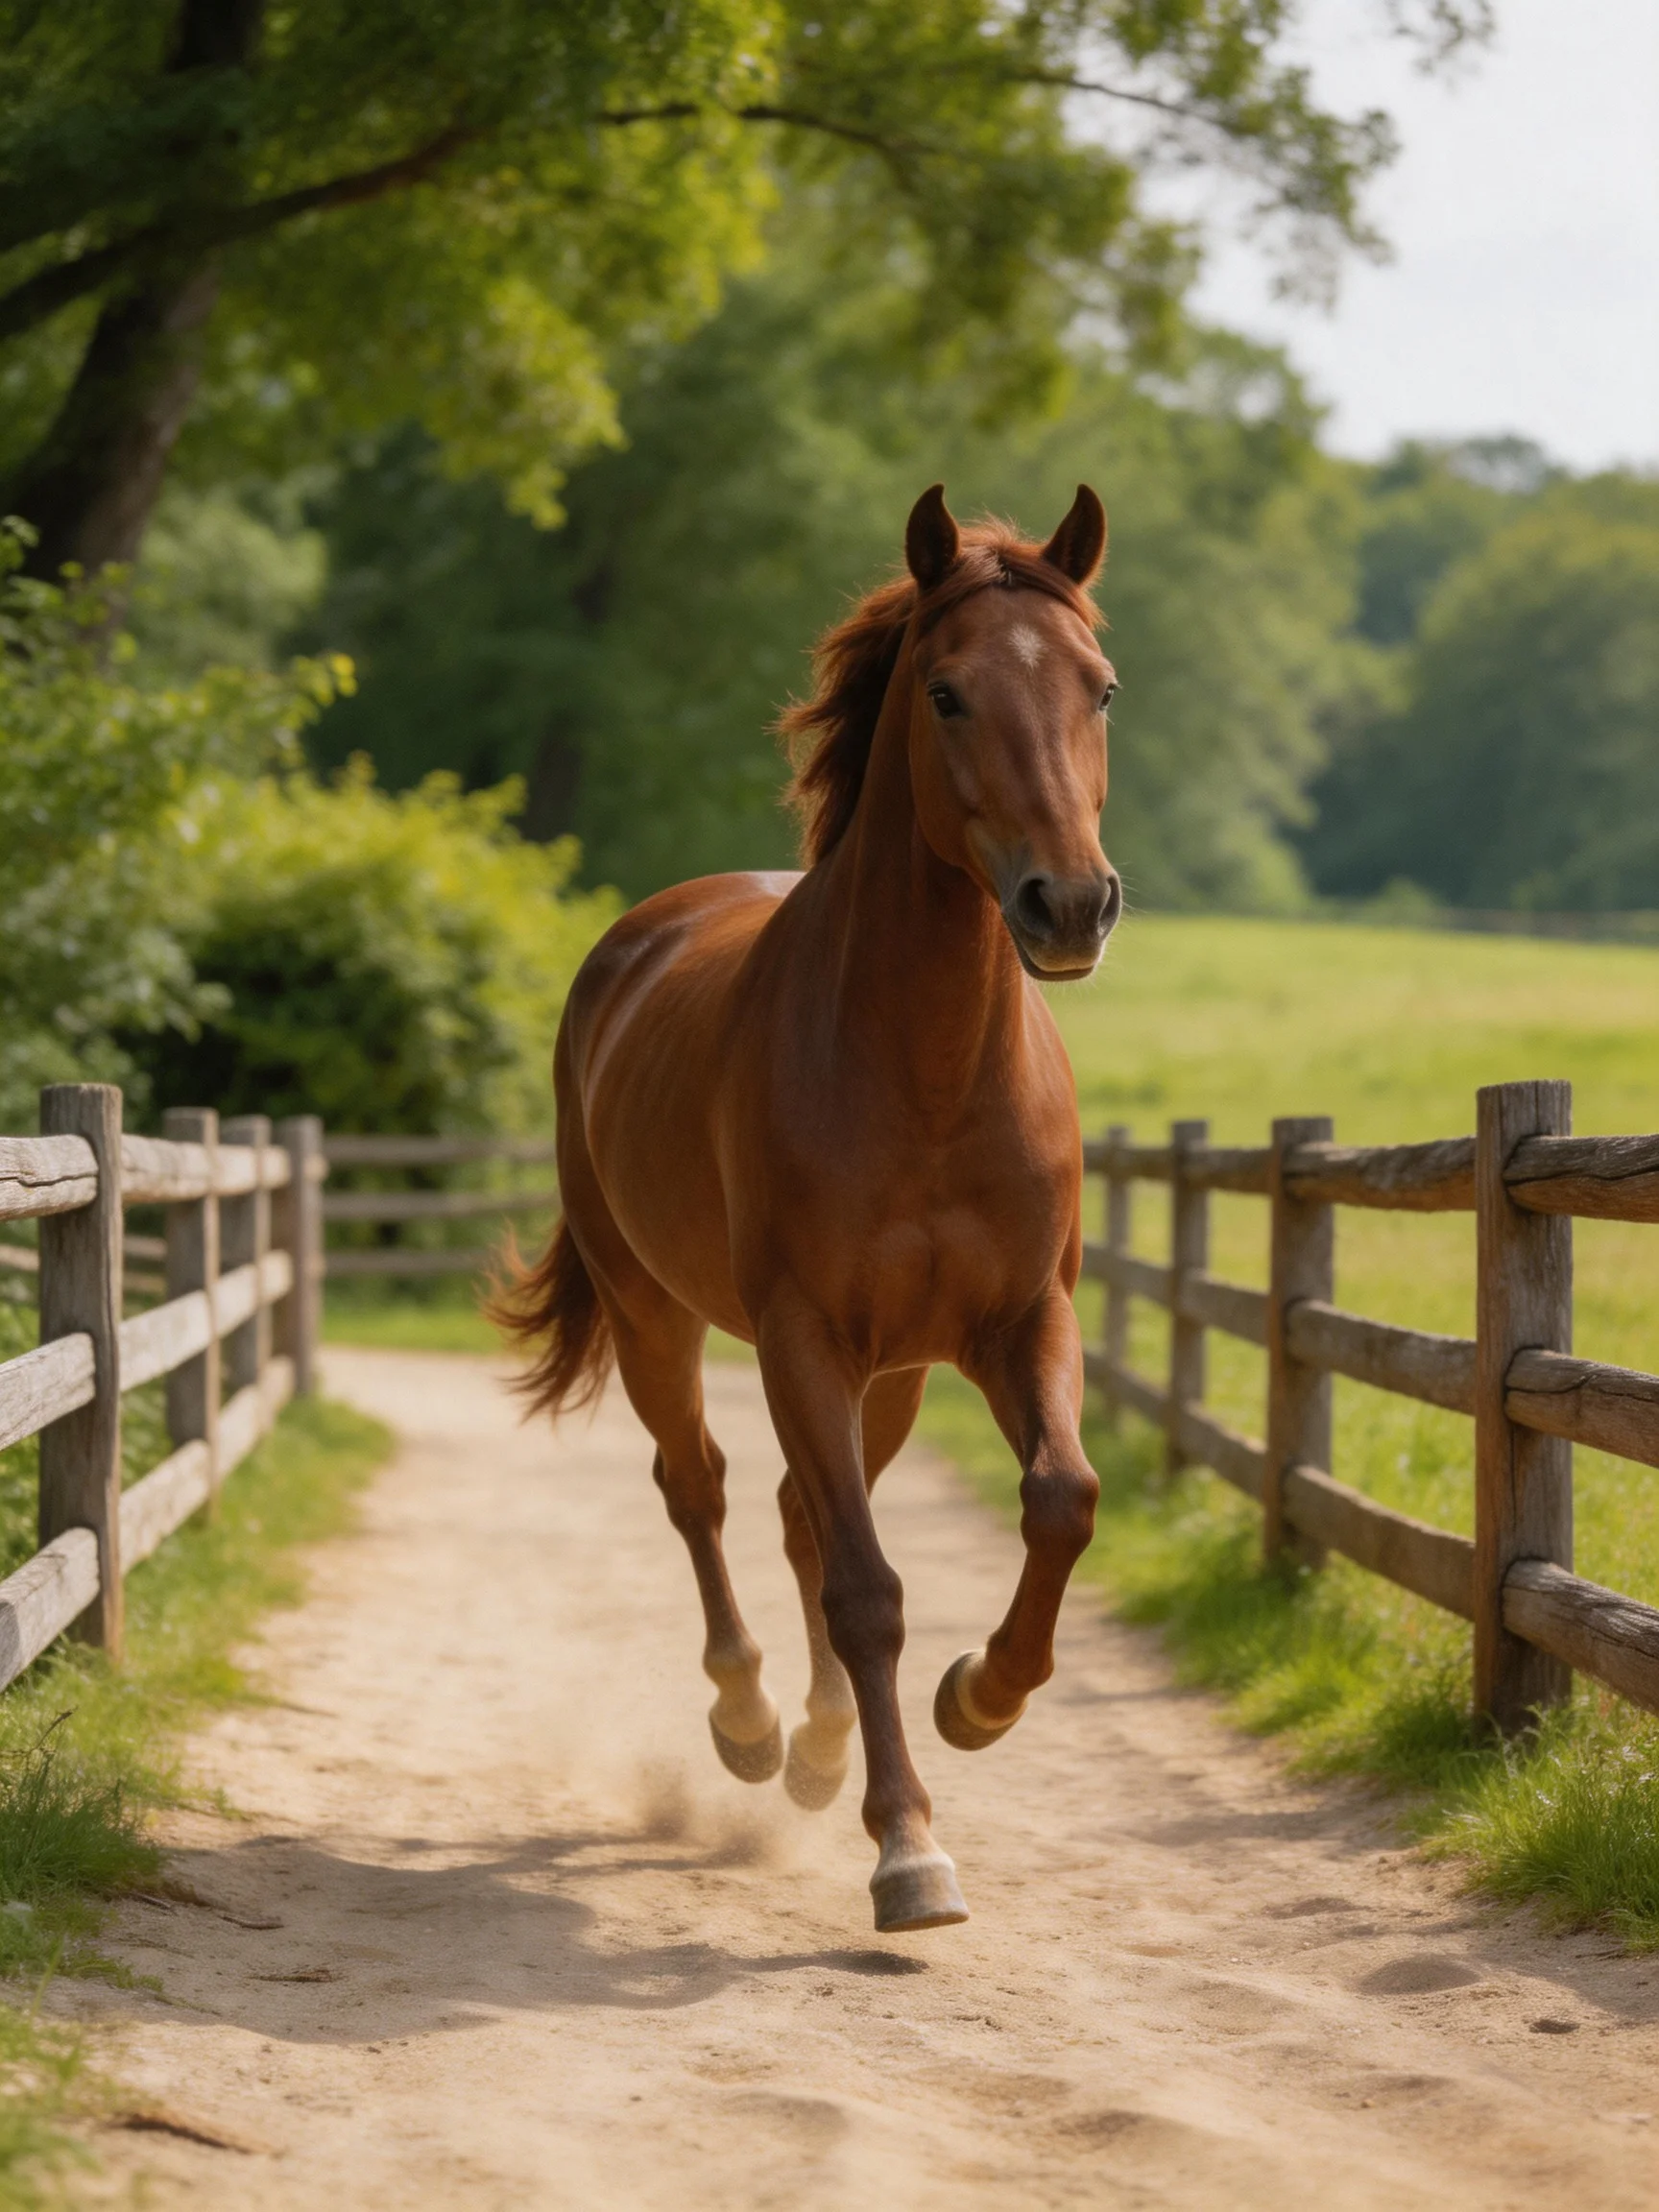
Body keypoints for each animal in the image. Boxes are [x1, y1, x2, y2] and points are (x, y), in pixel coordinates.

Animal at [494, 483, 1121, 1932]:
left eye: (1101, 689)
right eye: (947, 694)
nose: (1070, 904)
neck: (926, 1072)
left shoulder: (1017, 1324)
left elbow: (1060, 1500)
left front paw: (979, 1699)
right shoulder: (800, 1337)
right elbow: (865, 1587)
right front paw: (909, 1852)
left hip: (891, 1376)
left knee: (794, 1507)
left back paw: (826, 1745)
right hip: (660, 1320)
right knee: (705, 1490)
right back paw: (750, 1723)